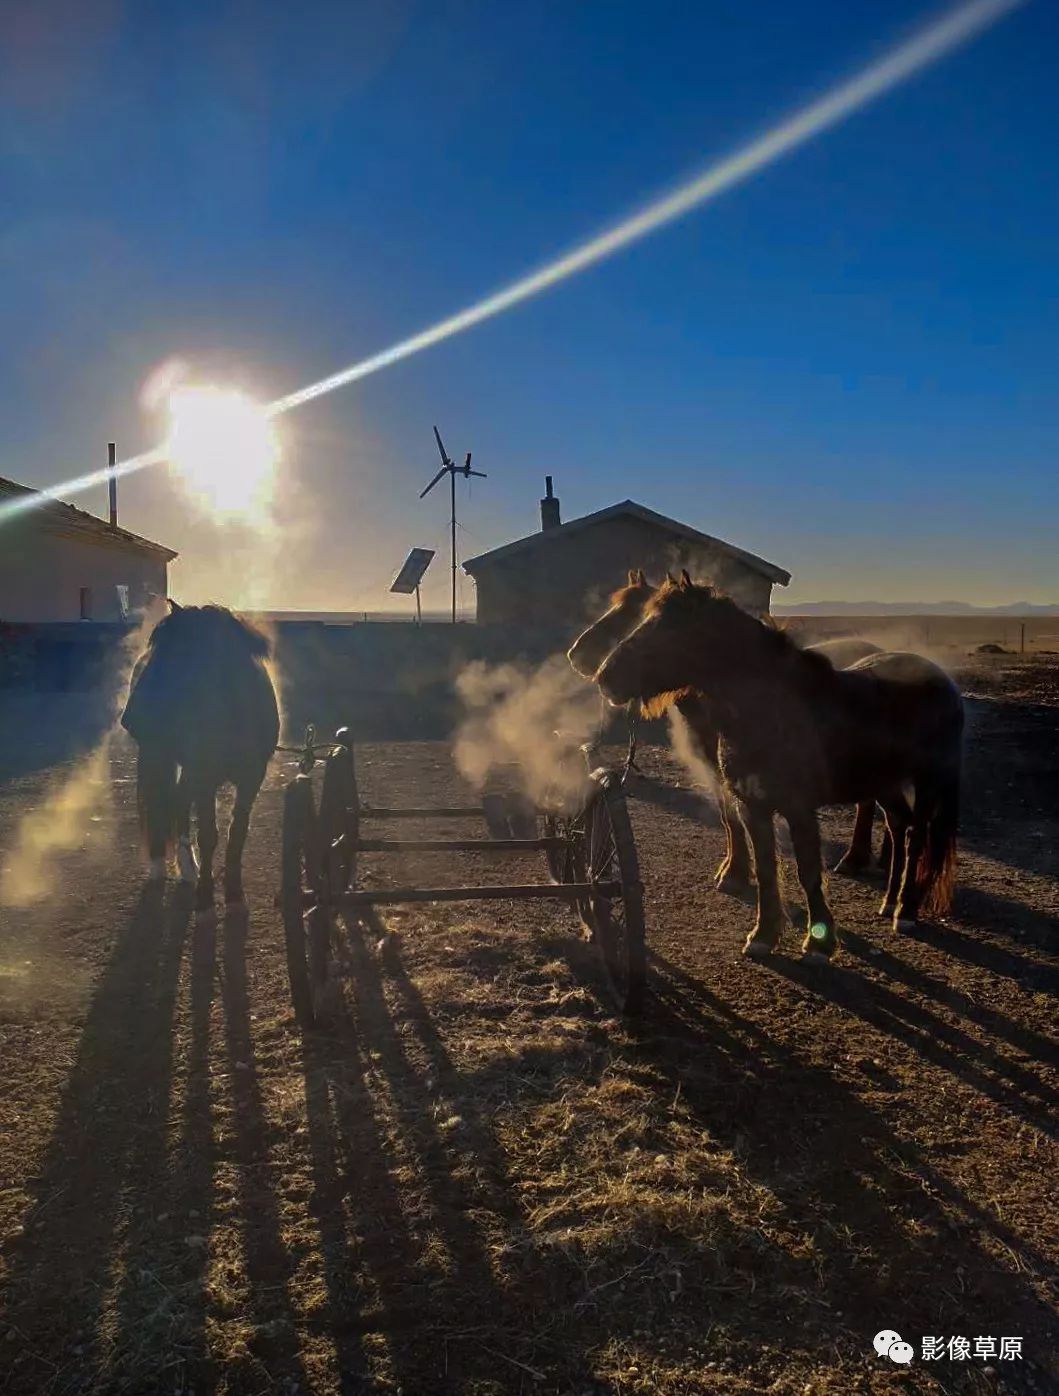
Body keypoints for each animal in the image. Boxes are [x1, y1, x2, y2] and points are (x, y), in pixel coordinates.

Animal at [572, 572, 887, 887]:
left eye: (630, 615)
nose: (596, 670)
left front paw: (736, 870)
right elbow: (728, 812)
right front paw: (736, 866)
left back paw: (858, 858)